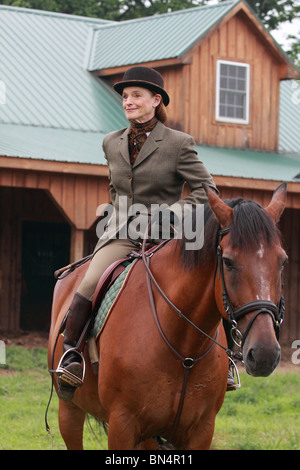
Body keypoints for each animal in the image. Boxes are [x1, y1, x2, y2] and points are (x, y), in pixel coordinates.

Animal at [47, 183, 288, 448]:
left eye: (282, 262)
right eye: (228, 262)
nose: (265, 353)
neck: (183, 347)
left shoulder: (201, 430)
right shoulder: (122, 425)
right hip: (69, 409)